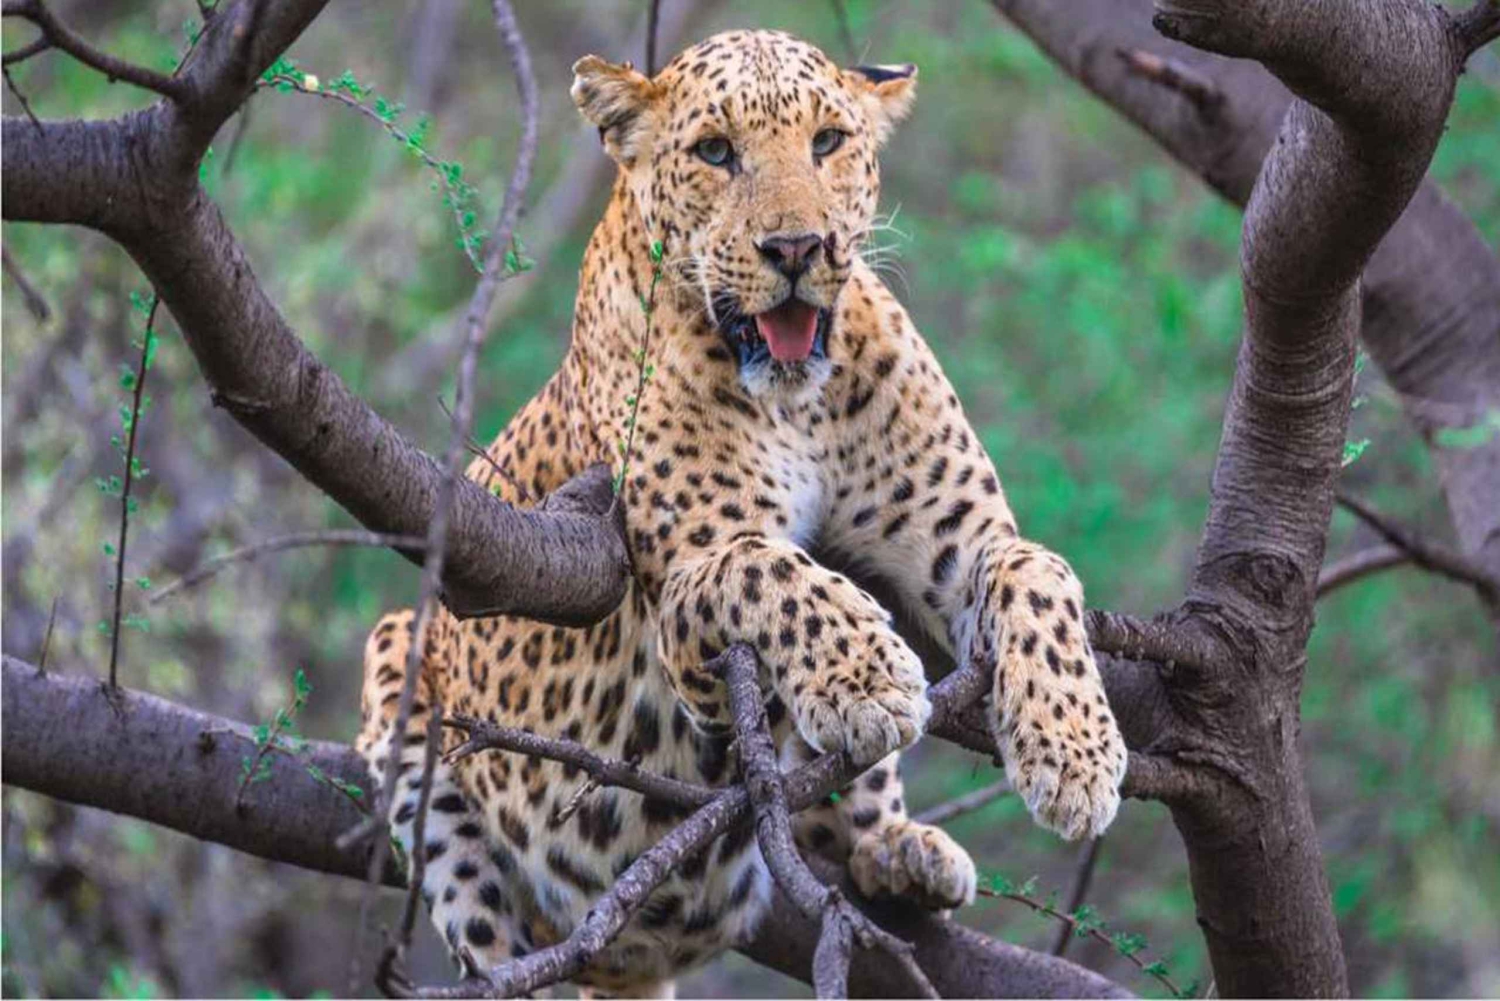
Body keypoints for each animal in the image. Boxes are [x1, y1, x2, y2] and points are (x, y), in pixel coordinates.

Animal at [356, 28, 1126, 997]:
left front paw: (1075, 753)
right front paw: (871, 675)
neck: (801, 402)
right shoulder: (687, 608)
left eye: (828, 142)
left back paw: (901, 852)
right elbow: (773, 568)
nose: (796, 247)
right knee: (483, 910)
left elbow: (1041, 570)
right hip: (403, 658)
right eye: (717, 152)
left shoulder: (963, 547)